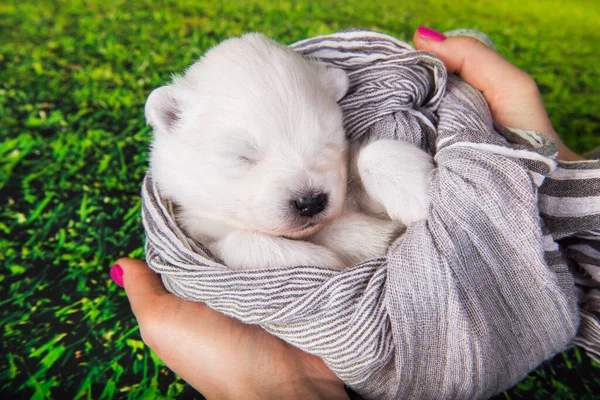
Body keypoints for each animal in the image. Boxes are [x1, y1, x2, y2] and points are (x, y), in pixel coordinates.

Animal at [146, 34, 436, 270]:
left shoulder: (346, 192)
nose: (310, 202)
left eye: (327, 138)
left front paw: (417, 192)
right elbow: (237, 242)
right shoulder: (202, 232)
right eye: (241, 156)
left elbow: (371, 159)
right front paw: (320, 259)